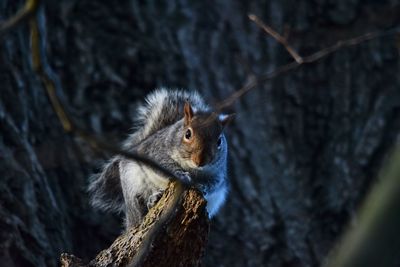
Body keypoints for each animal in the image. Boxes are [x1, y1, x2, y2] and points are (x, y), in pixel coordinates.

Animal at [89, 89, 233, 229]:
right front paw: (181, 174)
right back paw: (152, 200)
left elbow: (214, 183)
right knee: (138, 205)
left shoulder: (218, 172)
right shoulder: (156, 152)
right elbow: (164, 166)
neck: (191, 167)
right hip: (132, 182)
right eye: (188, 134)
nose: (200, 161)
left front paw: (202, 185)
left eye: (219, 141)